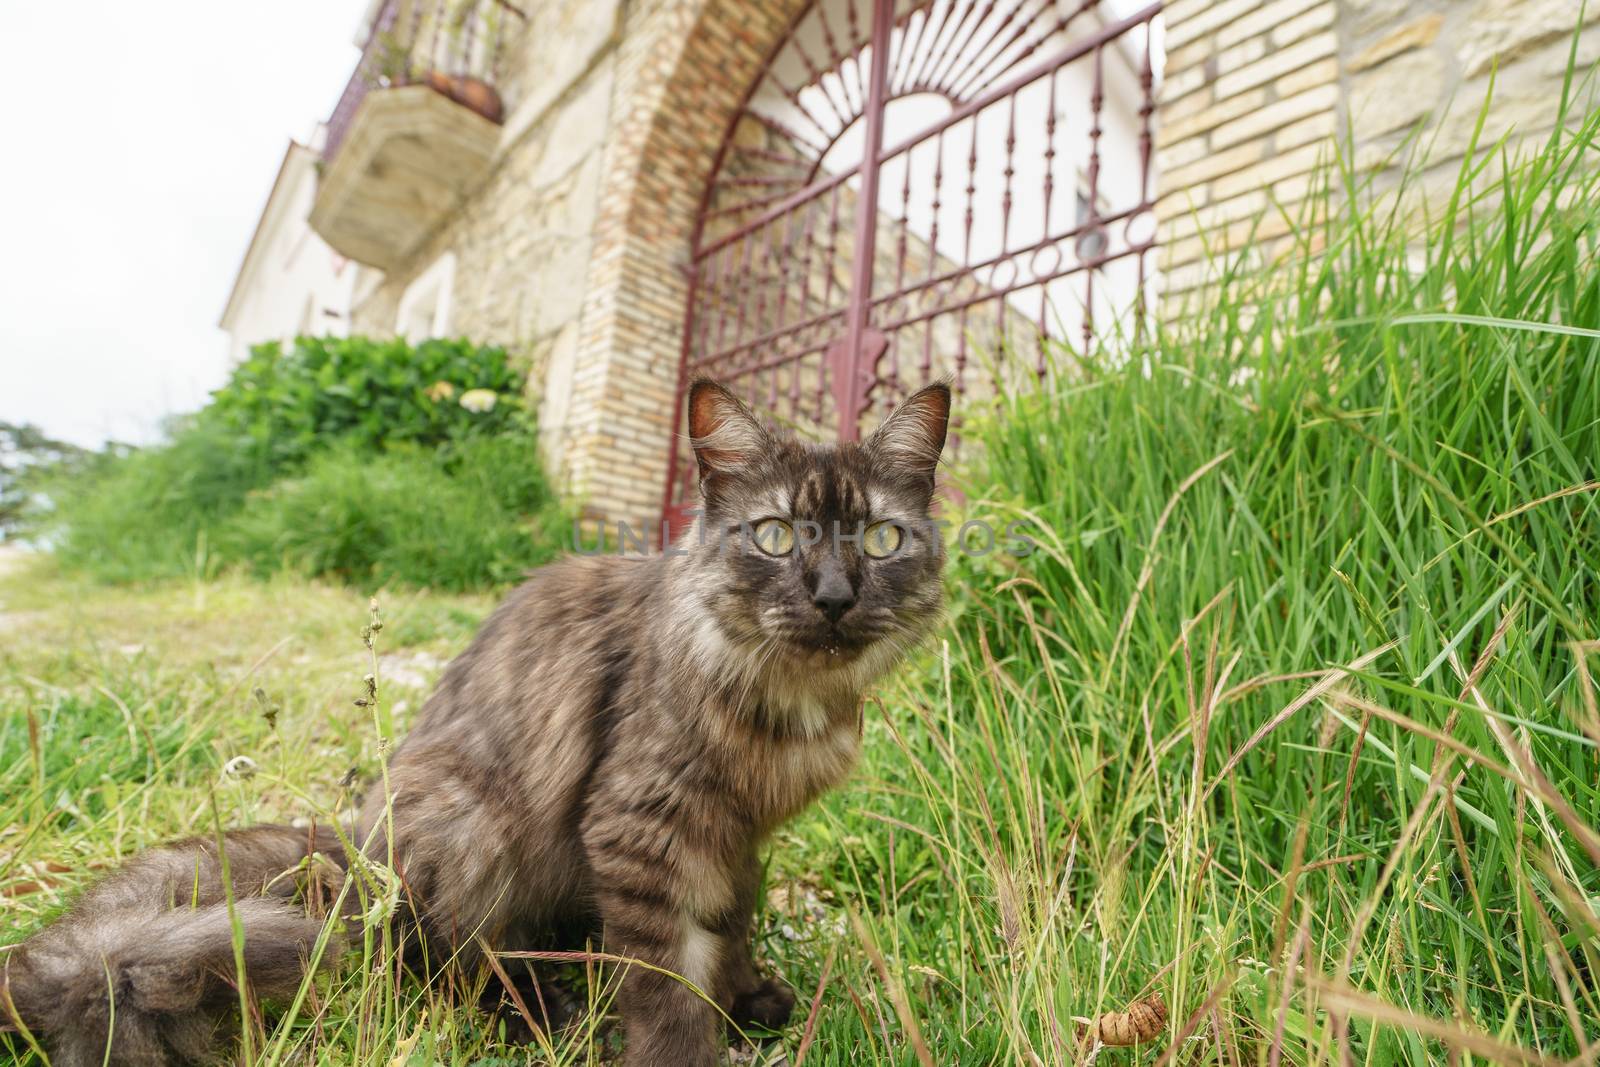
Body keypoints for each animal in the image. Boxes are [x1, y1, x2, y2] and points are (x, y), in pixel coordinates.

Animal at [0, 379, 947, 1062]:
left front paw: (746, 999)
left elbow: (729, 924)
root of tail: (353, 841)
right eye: (778, 535)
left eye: (883, 540)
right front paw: (688, 1047)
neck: (793, 697)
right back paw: (538, 1012)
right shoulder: (643, 823)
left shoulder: (739, 835)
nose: (834, 597)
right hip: (472, 825)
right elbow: (665, 975)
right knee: (452, 965)